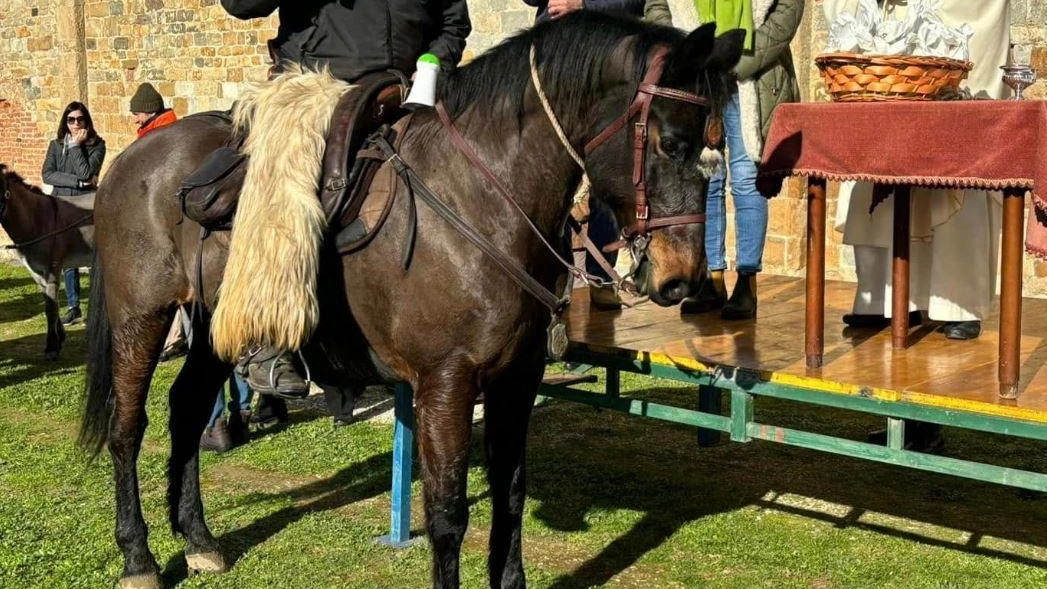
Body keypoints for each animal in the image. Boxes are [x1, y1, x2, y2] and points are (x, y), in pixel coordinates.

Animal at [0, 166, 93, 359]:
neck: (35, 219)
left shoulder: (52, 269)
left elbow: (50, 309)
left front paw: (51, 346)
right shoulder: (35, 272)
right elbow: (51, 303)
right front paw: (59, 339)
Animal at [77, 14, 741, 589]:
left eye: (717, 142)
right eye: (671, 142)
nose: (683, 278)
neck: (480, 196)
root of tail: (132, 160)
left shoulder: (516, 379)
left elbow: (510, 495)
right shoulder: (446, 383)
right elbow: (447, 515)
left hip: (216, 322)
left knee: (187, 409)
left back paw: (198, 540)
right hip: (142, 317)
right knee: (127, 426)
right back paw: (139, 556)